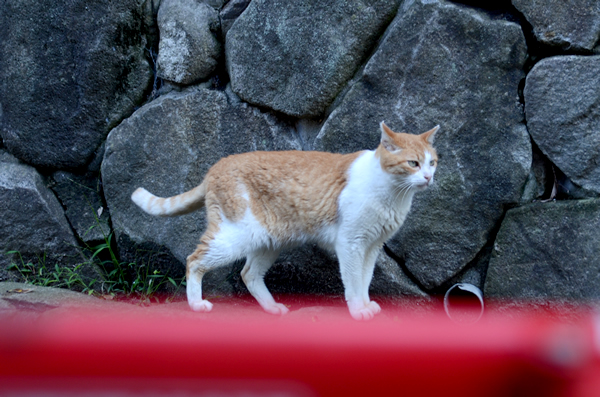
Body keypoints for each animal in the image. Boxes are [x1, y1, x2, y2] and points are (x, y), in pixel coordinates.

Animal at [131, 122, 438, 320]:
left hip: (267, 241)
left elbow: (365, 279)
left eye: (432, 162)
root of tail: (217, 165)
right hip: (234, 235)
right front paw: (358, 310)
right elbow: (352, 280)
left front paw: (366, 305)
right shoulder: (351, 243)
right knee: (194, 260)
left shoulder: (372, 247)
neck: (393, 194)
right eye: (413, 163)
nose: (428, 178)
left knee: (249, 273)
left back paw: (272, 308)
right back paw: (196, 304)